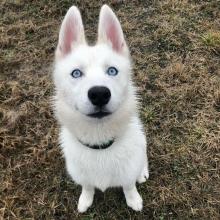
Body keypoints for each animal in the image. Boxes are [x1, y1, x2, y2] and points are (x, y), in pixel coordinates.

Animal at [53, 4, 149, 212]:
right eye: (76, 73)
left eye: (112, 71)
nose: (99, 94)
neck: (99, 144)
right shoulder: (83, 176)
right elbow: (88, 186)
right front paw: (85, 199)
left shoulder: (127, 173)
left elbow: (129, 185)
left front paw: (133, 199)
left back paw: (142, 172)